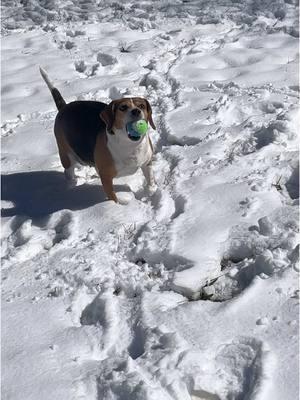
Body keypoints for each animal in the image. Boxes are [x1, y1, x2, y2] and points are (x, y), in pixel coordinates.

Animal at [39, 67, 157, 203]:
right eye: (123, 107)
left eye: (141, 106)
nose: (136, 111)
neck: (130, 145)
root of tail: (64, 107)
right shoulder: (106, 178)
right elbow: (113, 197)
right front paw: (117, 205)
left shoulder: (147, 164)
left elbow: (151, 182)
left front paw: (150, 193)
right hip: (66, 155)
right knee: (68, 171)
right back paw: (72, 185)